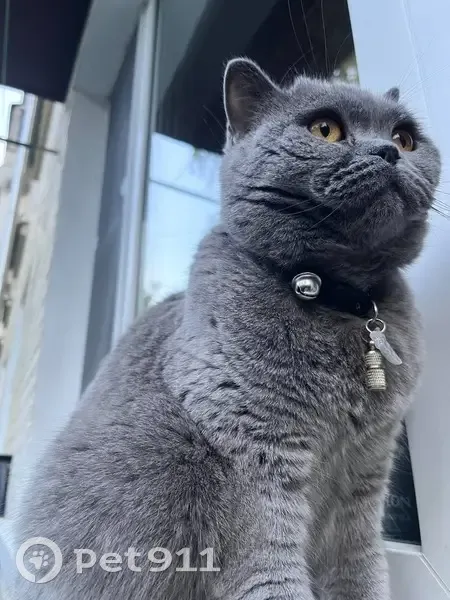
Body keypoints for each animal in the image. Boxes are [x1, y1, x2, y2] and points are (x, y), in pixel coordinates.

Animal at [12, 58, 440, 600]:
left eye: (406, 137)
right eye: (326, 129)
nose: (387, 150)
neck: (336, 296)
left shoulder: (366, 474)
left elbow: (360, 571)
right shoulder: (252, 454)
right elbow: (270, 572)